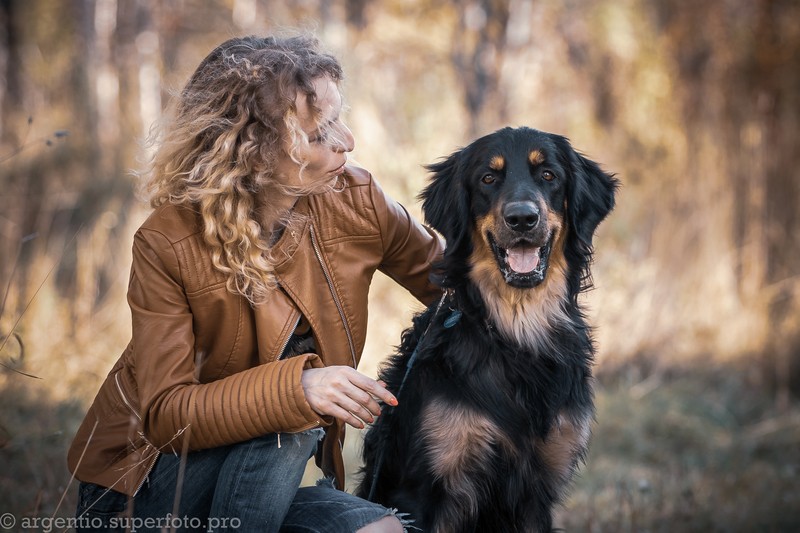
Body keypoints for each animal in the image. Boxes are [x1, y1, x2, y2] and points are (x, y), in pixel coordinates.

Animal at [356, 127, 620, 528]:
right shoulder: (425, 490)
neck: (516, 330)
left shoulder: (539, 487)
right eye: (488, 179)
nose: (522, 218)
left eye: (548, 175)